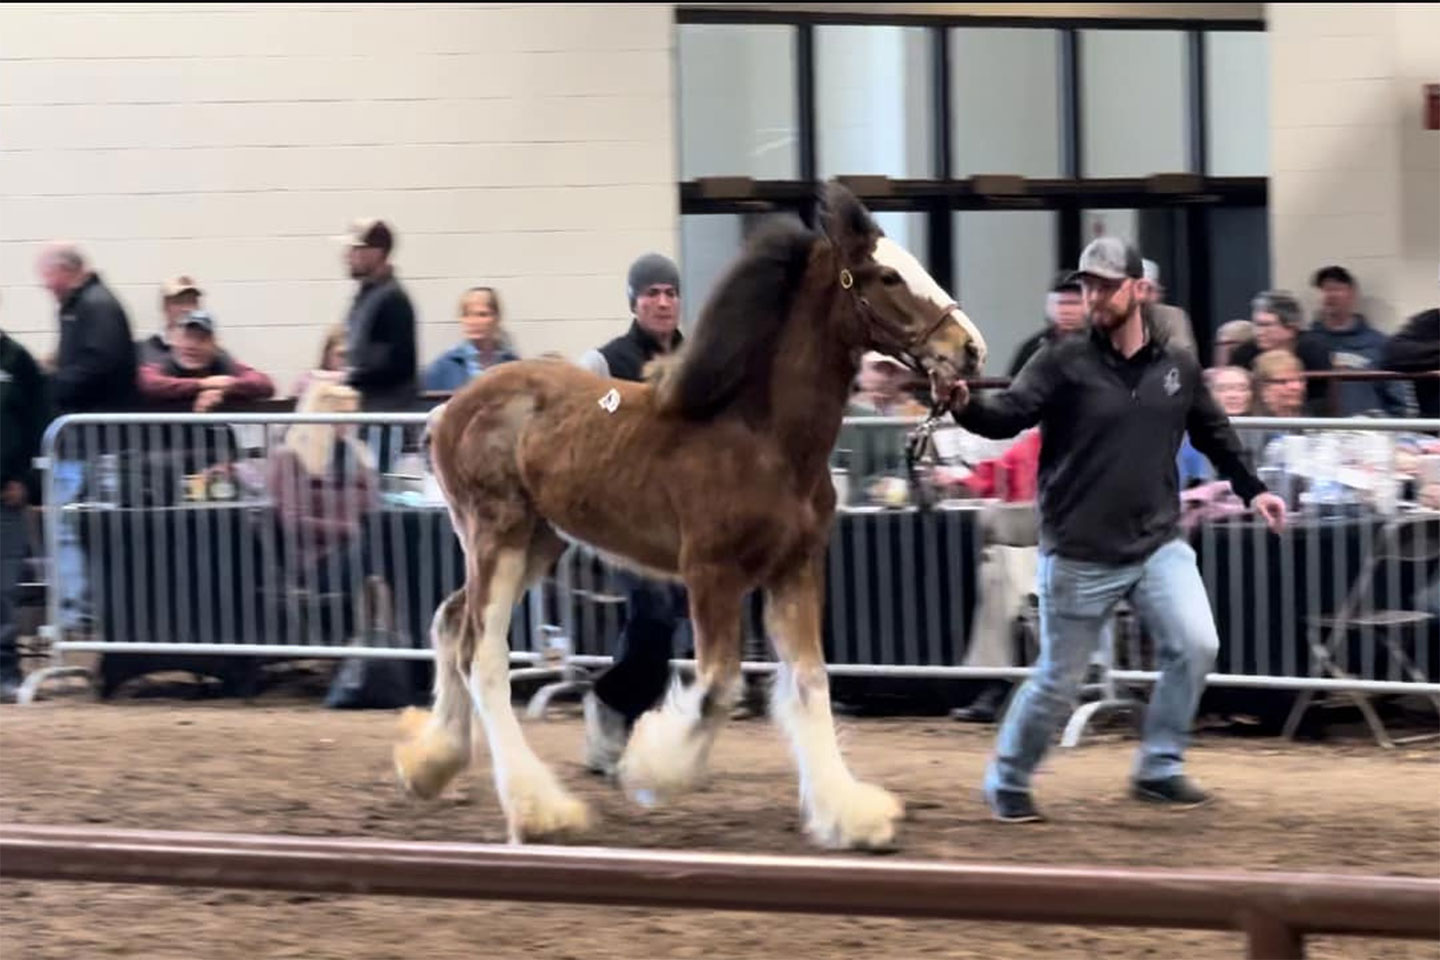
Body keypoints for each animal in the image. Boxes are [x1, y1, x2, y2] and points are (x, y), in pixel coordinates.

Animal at [393, 180, 988, 851]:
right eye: (886, 275)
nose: (969, 349)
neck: (761, 438)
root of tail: (446, 412)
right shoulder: (712, 575)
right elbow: (718, 687)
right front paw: (651, 771)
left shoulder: (796, 569)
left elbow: (811, 682)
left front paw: (852, 816)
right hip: (498, 536)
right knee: (483, 654)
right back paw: (540, 810)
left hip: (541, 542)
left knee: (450, 622)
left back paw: (430, 765)